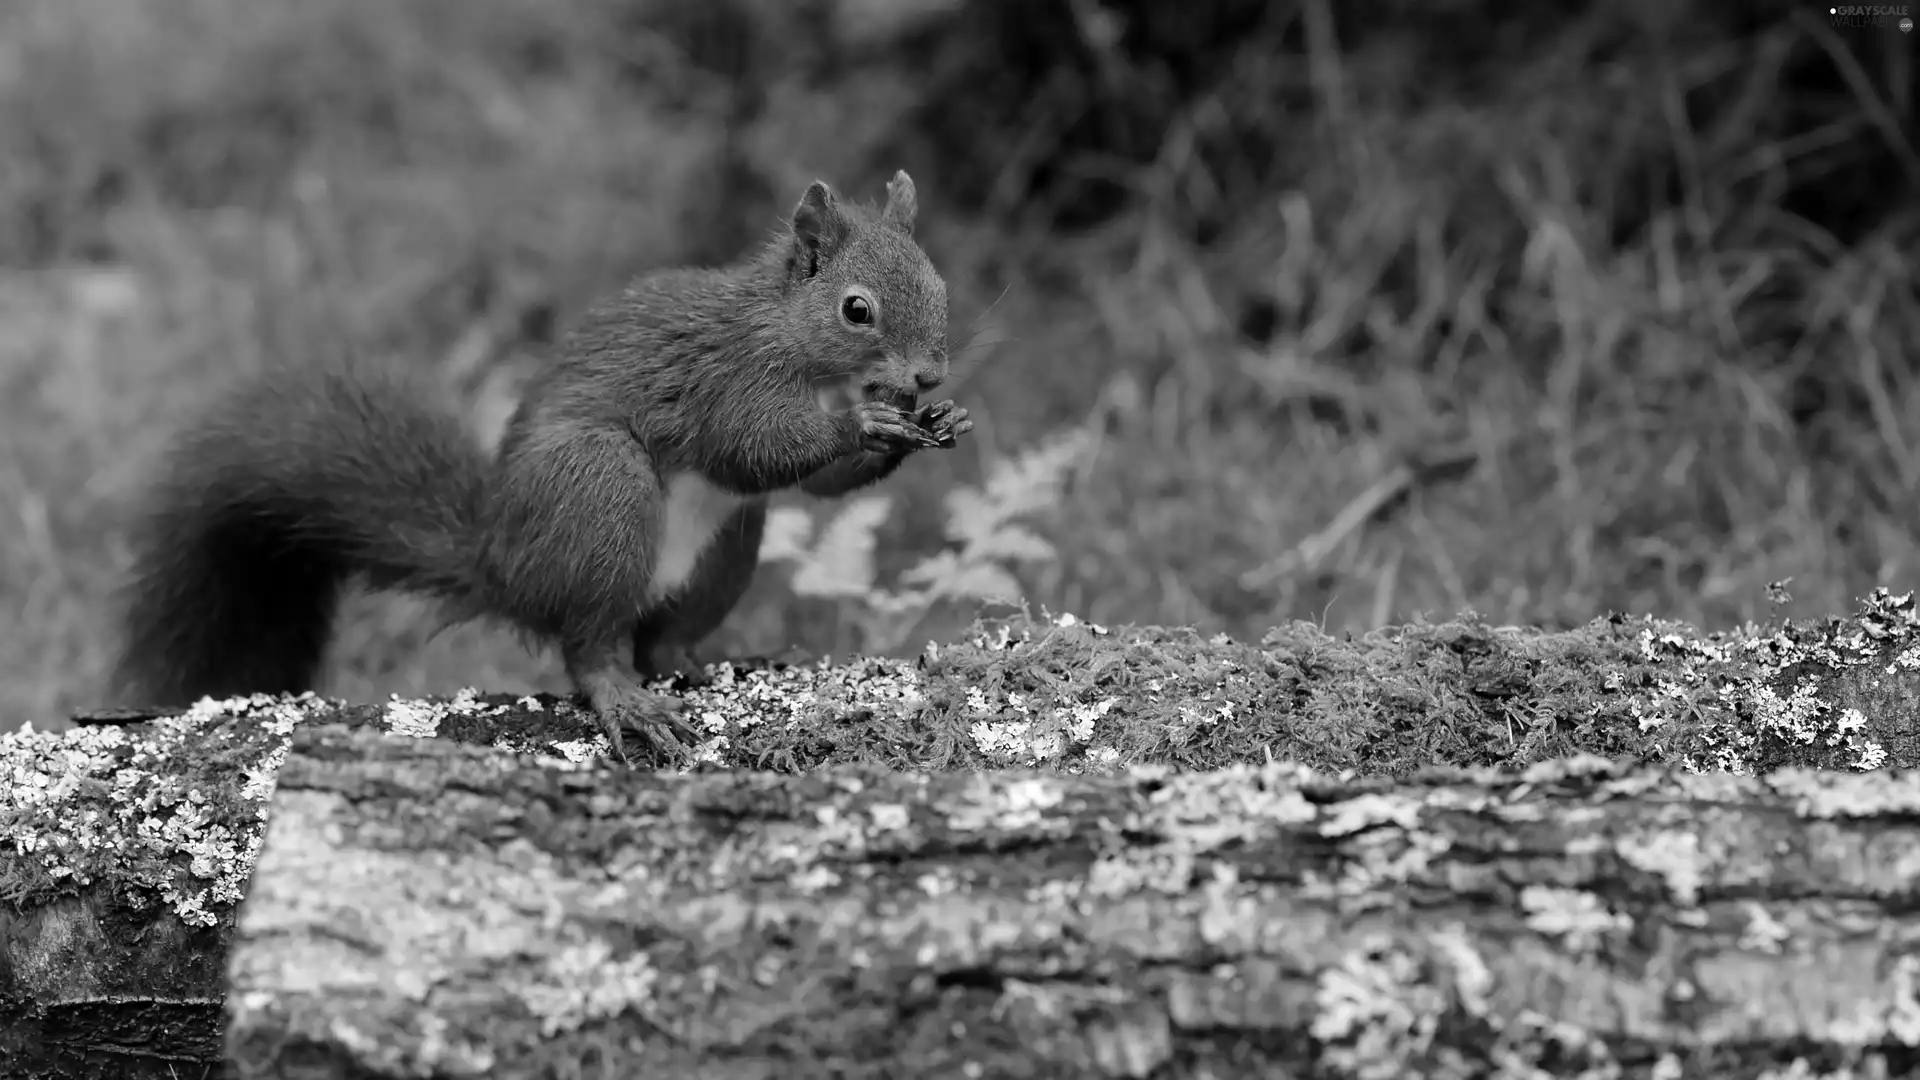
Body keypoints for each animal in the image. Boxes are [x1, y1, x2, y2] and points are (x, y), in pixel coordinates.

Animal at [110, 168, 967, 757]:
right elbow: (754, 445)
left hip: (727, 547)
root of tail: (500, 565)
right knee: (590, 647)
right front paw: (861, 424)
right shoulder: (724, 378)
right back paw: (628, 701)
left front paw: (929, 424)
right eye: (856, 309)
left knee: (660, 637)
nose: (929, 377)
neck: (791, 337)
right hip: (598, 494)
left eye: (940, 286)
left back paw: (700, 661)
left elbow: (817, 487)